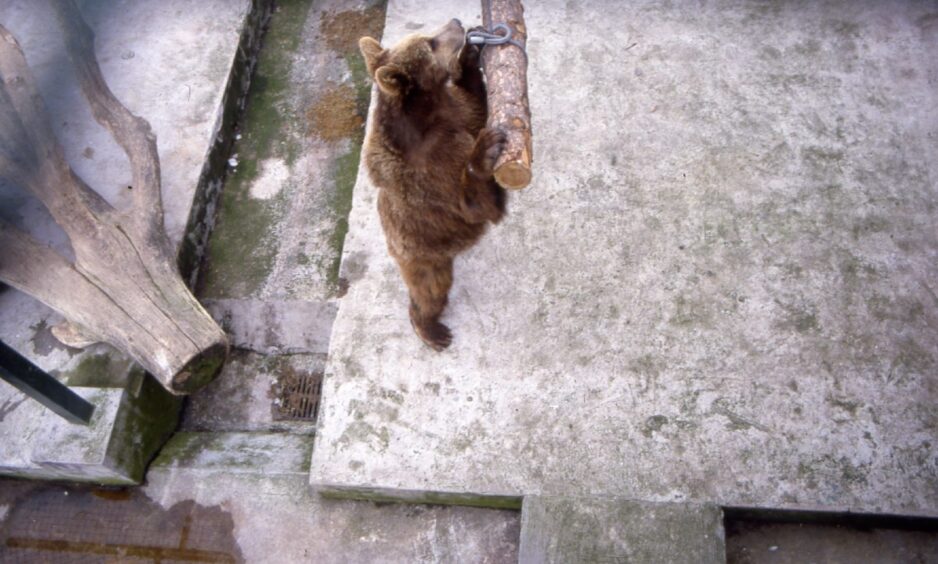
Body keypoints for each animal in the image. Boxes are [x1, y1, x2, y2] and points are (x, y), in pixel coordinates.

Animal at [358, 19, 507, 351]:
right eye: (430, 43)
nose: (457, 23)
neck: (426, 117)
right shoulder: (428, 175)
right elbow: (474, 205)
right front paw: (486, 149)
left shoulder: (456, 114)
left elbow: (475, 106)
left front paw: (470, 57)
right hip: (422, 253)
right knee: (430, 291)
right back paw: (432, 330)